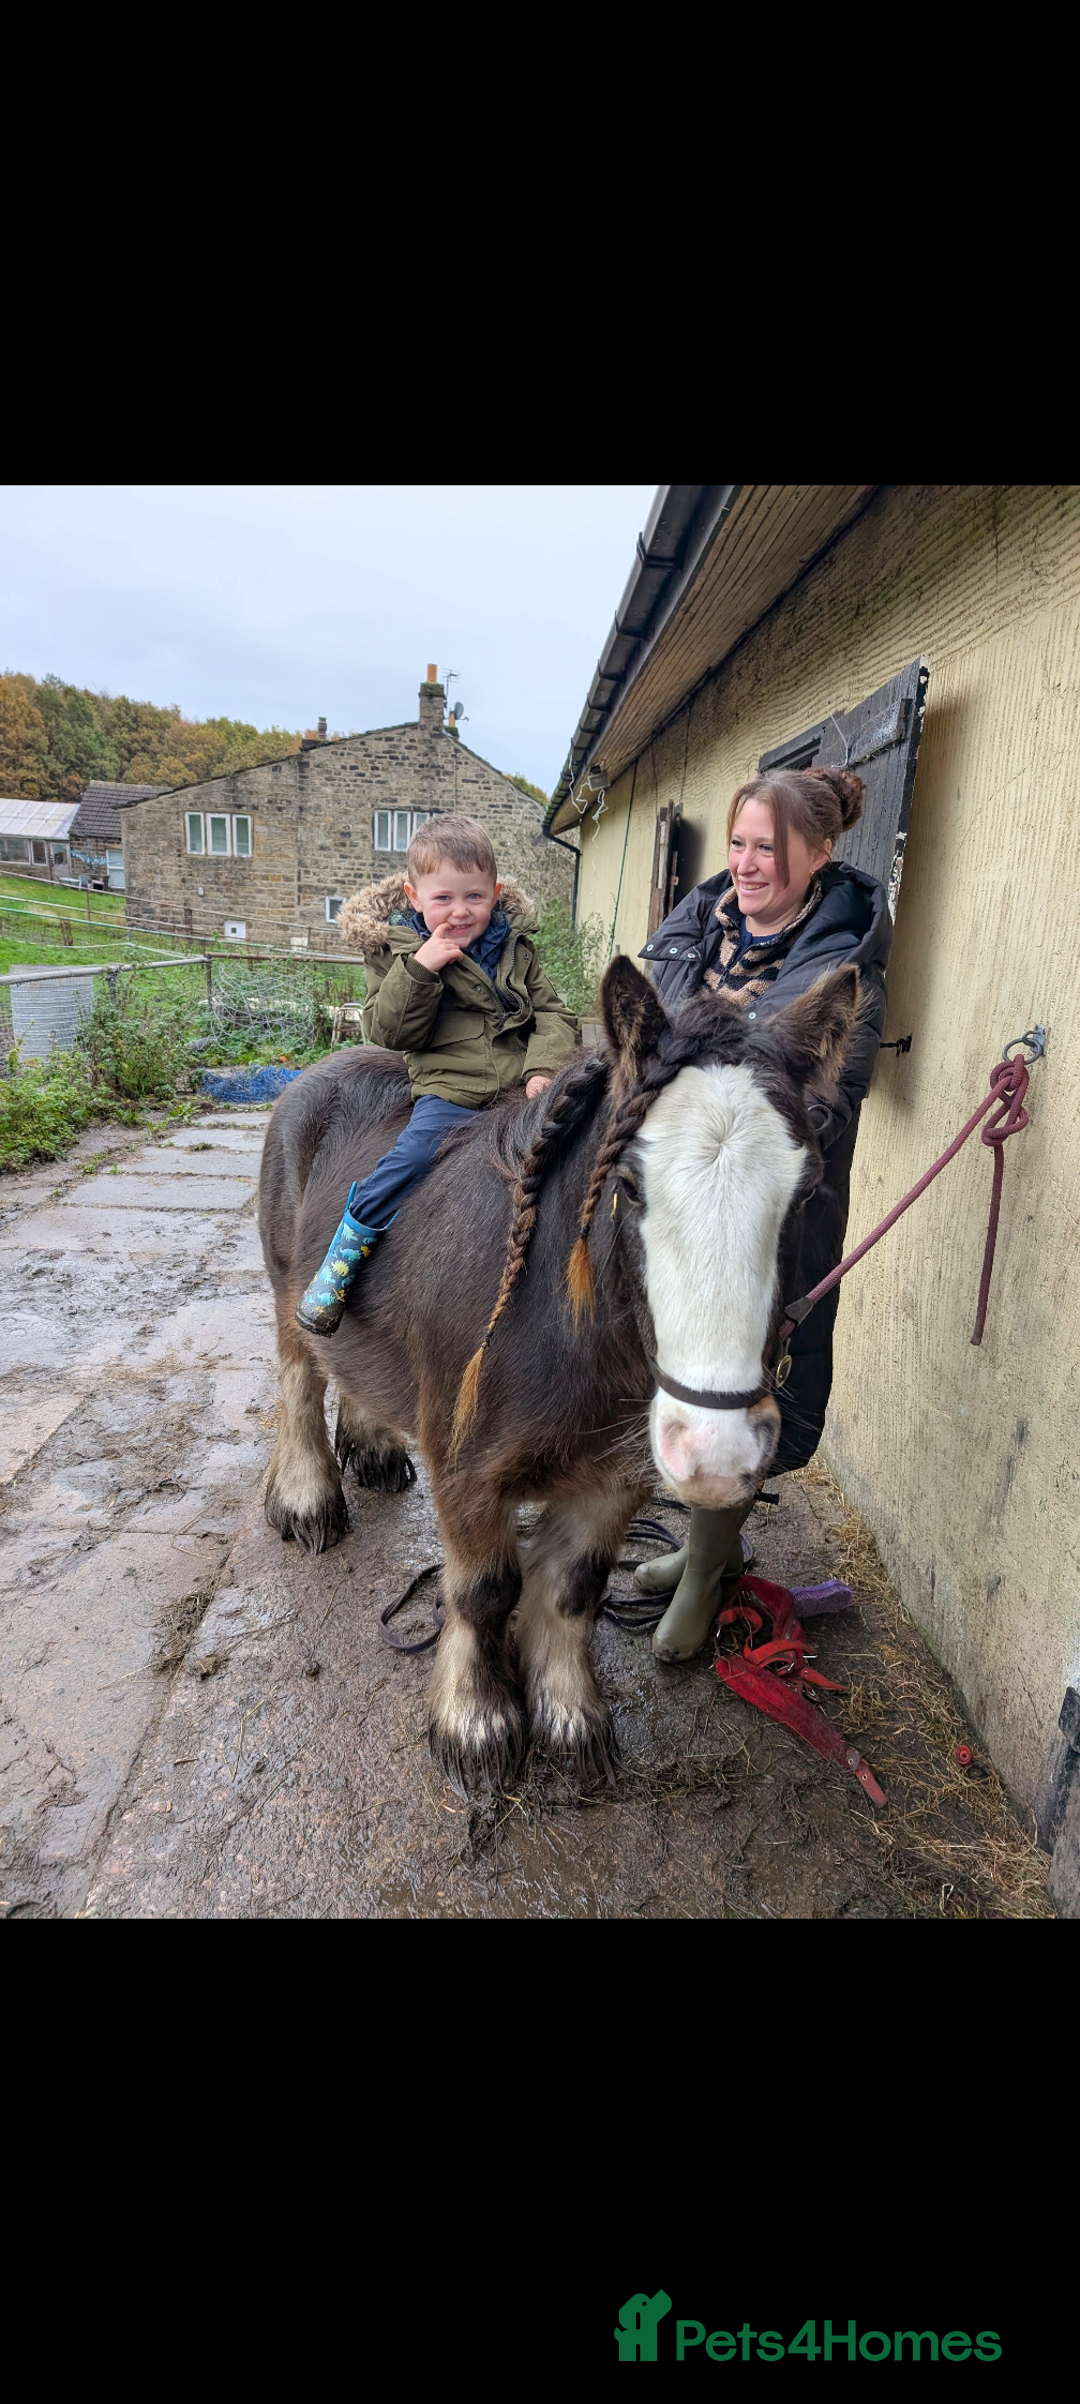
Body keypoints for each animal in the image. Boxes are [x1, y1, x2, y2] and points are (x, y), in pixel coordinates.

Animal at [257, 953, 860, 1796]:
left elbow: (573, 1590)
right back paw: (309, 1498)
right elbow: (483, 1592)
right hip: (288, 1295)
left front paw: (570, 1717)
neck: (562, 1328)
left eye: (806, 1192)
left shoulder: (614, 1478)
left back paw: (373, 1449)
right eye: (631, 1186)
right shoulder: (467, 1471)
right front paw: (475, 1726)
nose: (716, 1453)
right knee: (300, 1382)